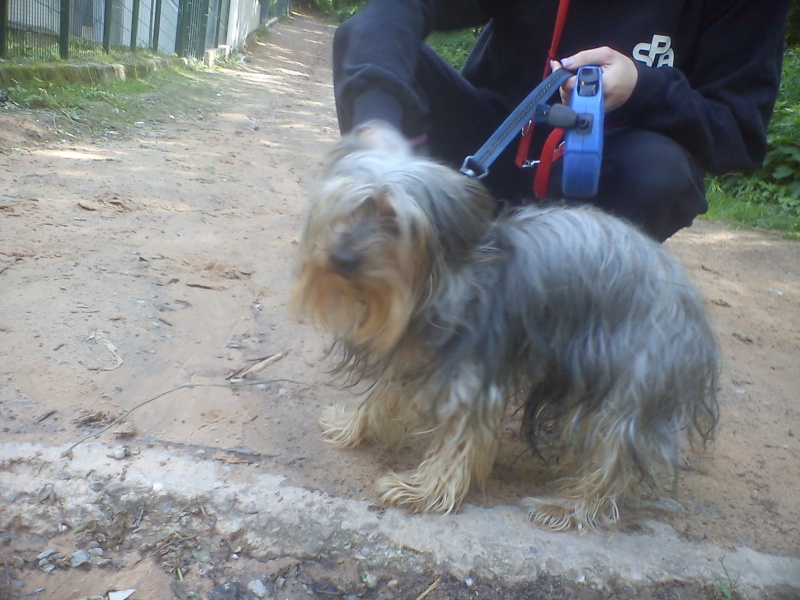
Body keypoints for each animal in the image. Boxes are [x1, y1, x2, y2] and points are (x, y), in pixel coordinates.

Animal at [292, 120, 720, 528]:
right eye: (347, 209)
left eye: (393, 221)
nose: (342, 258)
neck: (435, 282)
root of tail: (690, 304)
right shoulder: (414, 354)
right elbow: (382, 395)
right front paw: (352, 425)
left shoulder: (470, 373)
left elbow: (458, 439)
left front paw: (423, 490)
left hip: (631, 375)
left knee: (613, 454)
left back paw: (572, 507)